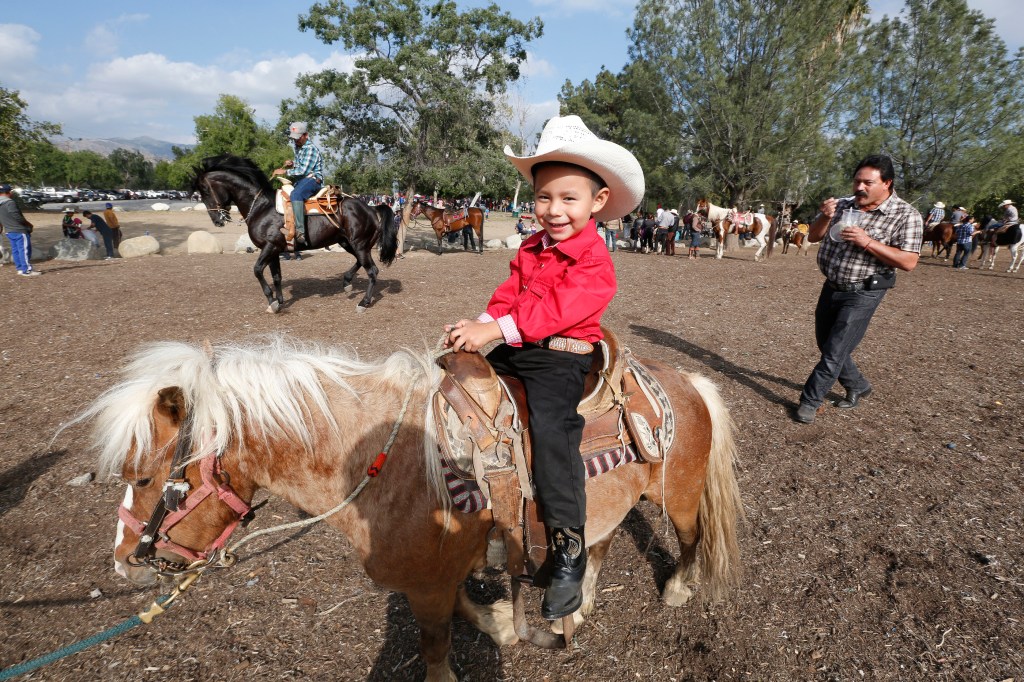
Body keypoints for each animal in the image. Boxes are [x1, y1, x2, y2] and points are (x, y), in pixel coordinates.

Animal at [83, 335, 745, 679]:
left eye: (143, 477)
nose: (123, 560)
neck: (384, 462)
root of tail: (682, 380)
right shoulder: (440, 574)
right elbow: (463, 611)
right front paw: (503, 626)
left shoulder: (425, 585)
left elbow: (434, 645)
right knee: (597, 543)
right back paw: (573, 607)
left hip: (678, 497)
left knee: (689, 539)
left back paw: (677, 589)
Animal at [190, 153, 397, 311]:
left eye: (205, 190)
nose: (217, 220)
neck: (261, 206)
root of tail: (371, 208)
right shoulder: (274, 251)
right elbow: (276, 276)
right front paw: (280, 301)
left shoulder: (269, 247)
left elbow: (257, 270)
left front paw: (272, 302)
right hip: (349, 243)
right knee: (361, 263)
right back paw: (346, 283)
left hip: (359, 244)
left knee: (372, 270)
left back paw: (364, 302)